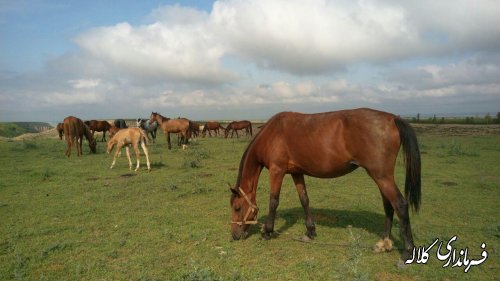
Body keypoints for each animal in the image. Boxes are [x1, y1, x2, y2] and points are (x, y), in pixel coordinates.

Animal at [230, 108, 422, 262]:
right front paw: (310, 232)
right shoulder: (296, 172)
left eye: (237, 208)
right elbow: (304, 199)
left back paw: (406, 252)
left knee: (400, 204)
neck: (272, 133)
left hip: (381, 176)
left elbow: (273, 201)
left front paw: (267, 232)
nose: (234, 235)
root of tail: (393, 118)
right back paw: (383, 243)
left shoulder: (277, 171)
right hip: (381, 177)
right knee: (388, 205)